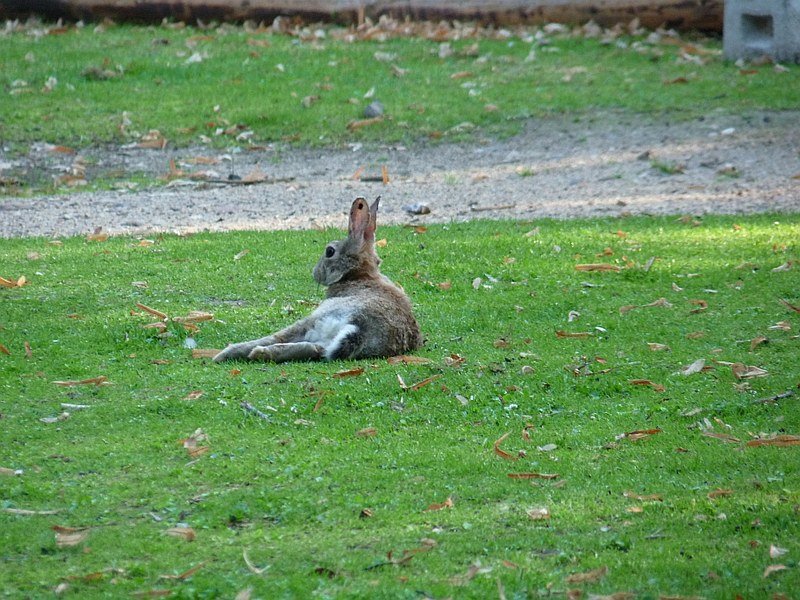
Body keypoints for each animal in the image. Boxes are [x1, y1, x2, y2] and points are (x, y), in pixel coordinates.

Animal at [212, 199, 424, 364]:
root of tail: (361, 330)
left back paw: (233, 353)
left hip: (317, 318)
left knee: (278, 337)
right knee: (316, 350)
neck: (359, 275)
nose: (315, 273)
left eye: (329, 251)